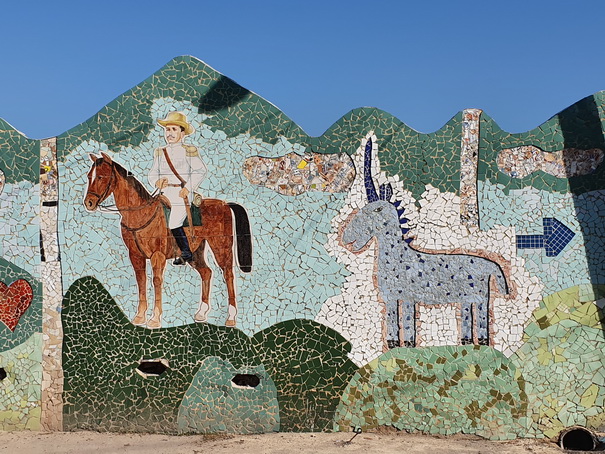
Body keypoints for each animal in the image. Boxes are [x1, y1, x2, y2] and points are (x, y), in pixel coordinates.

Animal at [83, 152, 252, 329]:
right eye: (89, 176)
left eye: (101, 176)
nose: (89, 203)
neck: (140, 213)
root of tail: (225, 204)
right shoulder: (136, 256)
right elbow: (141, 281)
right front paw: (139, 316)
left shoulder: (158, 256)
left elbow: (156, 281)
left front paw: (155, 318)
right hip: (195, 251)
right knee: (206, 272)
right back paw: (201, 313)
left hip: (221, 247)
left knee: (228, 274)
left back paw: (231, 317)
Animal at [341, 136, 508, 348]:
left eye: (377, 209)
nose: (346, 236)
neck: (398, 257)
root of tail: (490, 265)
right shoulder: (390, 298)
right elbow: (392, 320)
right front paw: (393, 345)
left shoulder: (409, 297)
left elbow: (407, 322)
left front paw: (408, 345)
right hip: (466, 297)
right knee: (467, 315)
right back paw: (467, 341)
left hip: (480, 296)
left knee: (482, 314)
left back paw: (483, 343)